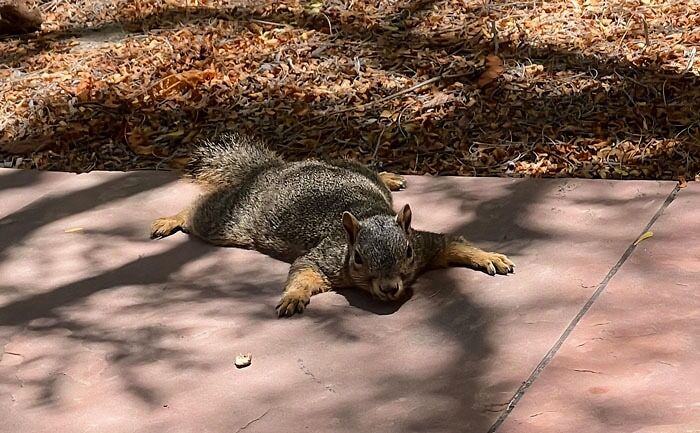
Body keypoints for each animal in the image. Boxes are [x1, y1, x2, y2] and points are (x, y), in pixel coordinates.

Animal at [152, 133, 516, 316]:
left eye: (408, 253)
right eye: (357, 258)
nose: (389, 289)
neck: (368, 215)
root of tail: (274, 169)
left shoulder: (424, 243)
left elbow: (452, 244)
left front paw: (488, 257)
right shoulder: (325, 256)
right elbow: (303, 270)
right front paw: (293, 296)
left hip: (350, 167)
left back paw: (388, 176)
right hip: (232, 220)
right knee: (200, 212)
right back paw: (171, 219)